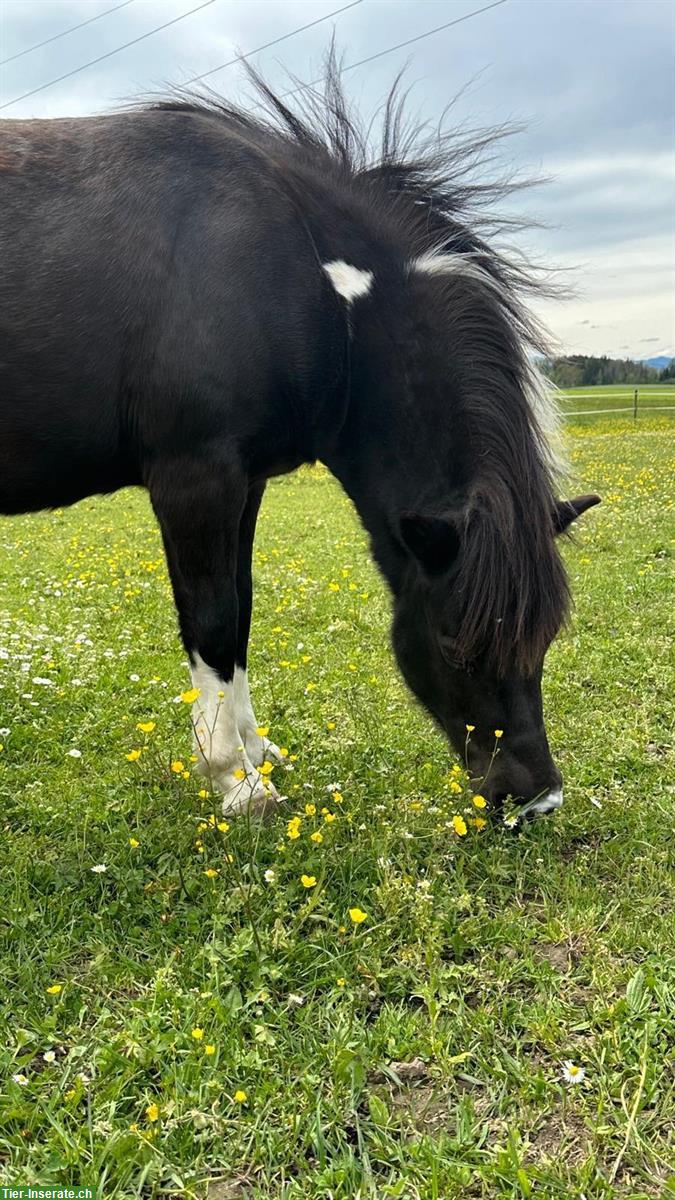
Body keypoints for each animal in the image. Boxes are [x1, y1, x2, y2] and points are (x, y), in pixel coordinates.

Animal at [0, 60, 595, 820]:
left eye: (544, 638)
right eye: (454, 644)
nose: (536, 800)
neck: (286, 258)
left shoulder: (244, 483)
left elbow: (240, 614)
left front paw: (254, 753)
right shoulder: (196, 480)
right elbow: (213, 621)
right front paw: (236, 781)